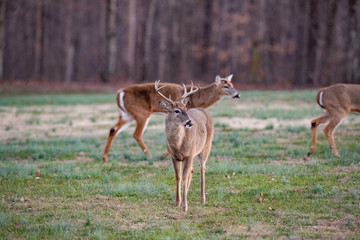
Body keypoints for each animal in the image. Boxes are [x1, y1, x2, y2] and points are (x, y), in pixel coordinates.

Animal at [102, 74, 239, 162]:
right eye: (225, 86)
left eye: (232, 84)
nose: (238, 94)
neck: (195, 99)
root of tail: (120, 92)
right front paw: (164, 155)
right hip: (141, 113)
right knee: (136, 134)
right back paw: (149, 156)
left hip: (127, 115)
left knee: (113, 129)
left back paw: (105, 158)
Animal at [155, 80, 214, 210]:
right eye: (176, 110)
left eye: (186, 108)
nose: (190, 122)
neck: (178, 145)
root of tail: (205, 111)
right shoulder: (173, 156)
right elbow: (178, 177)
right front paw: (178, 202)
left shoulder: (189, 154)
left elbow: (184, 176)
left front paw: (184, 206)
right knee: (192, 170)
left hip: (206, 146)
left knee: (202, 168)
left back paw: (203, 199)